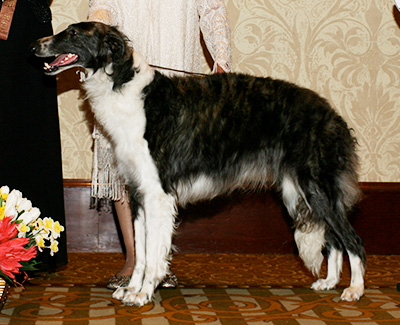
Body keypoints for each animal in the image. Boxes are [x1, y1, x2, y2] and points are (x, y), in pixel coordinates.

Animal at [32, 21, 368, 306]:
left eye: (74, 33)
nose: (35, 45)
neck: (125, 88)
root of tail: (332, 114)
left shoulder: (158, 195)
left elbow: (152, 253)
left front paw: (143, 294)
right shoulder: (139, 193)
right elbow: (140, 252)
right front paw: (131, 289)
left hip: (315, 187)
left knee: (352, 240)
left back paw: (355, 289)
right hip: (306, 190)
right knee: (334, 239)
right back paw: (329, 282)